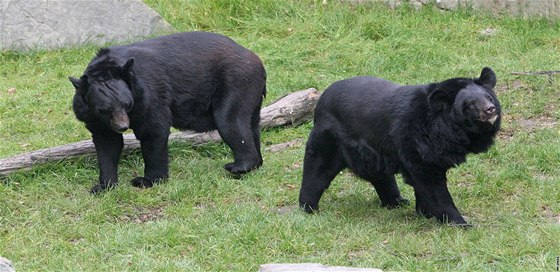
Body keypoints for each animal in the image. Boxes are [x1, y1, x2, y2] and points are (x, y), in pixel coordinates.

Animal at [69, 31, 266, 193]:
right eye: (104, 110)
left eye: (127, 104)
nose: (123, 126)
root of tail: (258, 62)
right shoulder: (94, 118)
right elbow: (107, 143)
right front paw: (103, 186)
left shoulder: (149, 94)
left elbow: (154, 130)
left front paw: (147, 180)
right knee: (251, 125)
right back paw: (256, 163)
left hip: (236, 84)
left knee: (230, 122)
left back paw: (239, 166)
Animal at [300, 67, 500, 225]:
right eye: (471, 104)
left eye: (489, 97)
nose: (491, 110)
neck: (443, 128)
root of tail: (322, 99)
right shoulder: (416, 142)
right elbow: (431, 184)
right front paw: (460, 223)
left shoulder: (435, 152)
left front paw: (425, 213)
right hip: (330, 137)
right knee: (317, 169)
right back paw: (308, 207)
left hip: (373, 152)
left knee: (381, 176)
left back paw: (397, 202)